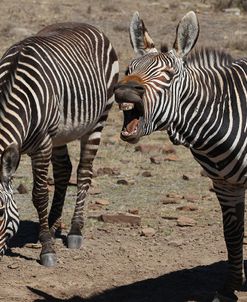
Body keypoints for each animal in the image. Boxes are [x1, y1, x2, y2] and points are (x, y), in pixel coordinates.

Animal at [0, 21, 118, 266]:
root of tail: (83, 23)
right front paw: (47, 235)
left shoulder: (42, 145)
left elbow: (39, 195)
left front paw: (47, 249)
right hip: (59, 135)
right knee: (64, 170)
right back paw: (54, 225)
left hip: (98, 121)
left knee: (84, 172)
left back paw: (74, 231)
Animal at [114, 11, 247, 302]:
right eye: (129, 69)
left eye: (169, 75)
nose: (124, 91)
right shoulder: (224, 183)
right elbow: (232, 232)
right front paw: (229, 288)